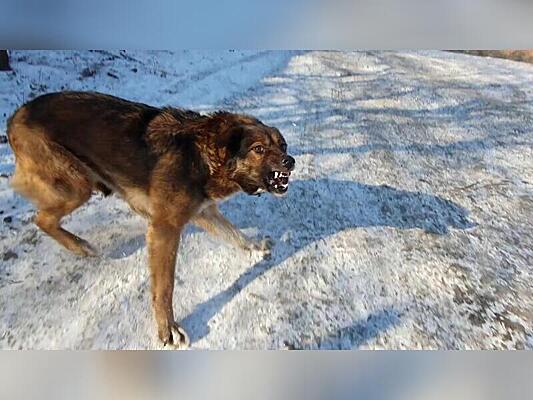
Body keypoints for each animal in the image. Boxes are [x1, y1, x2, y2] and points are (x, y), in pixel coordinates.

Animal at [5, 92, 296, 348]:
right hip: (76, 186)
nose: (290, 161)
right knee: (40, 218)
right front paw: (168, 328)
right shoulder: (165, 228)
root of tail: (17, 114)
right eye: (258, 149)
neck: (202, 155)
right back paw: (80, 246)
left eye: (282, 145)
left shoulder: (203, 212)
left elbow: (234, 234)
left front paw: (255, 247)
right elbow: (164, 287)